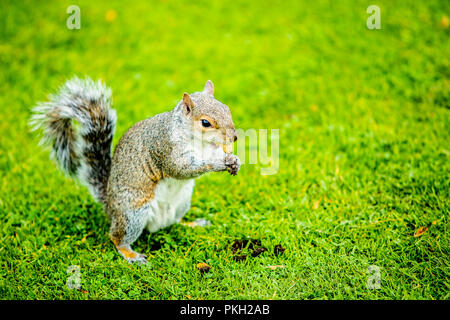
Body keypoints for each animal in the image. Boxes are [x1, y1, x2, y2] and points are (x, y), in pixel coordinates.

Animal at [29, 77, 241, 262]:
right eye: (205, 122)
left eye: (227, 109)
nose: (234, 137)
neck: (198, 141)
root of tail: (109, 206)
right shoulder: (165, 149)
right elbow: (182, 169)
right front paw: (219, 164)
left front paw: (234, 160)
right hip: (133, 213)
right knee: (116, 237)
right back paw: (130, 254)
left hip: (182, 202)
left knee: (175, 221)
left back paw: (193, 224)